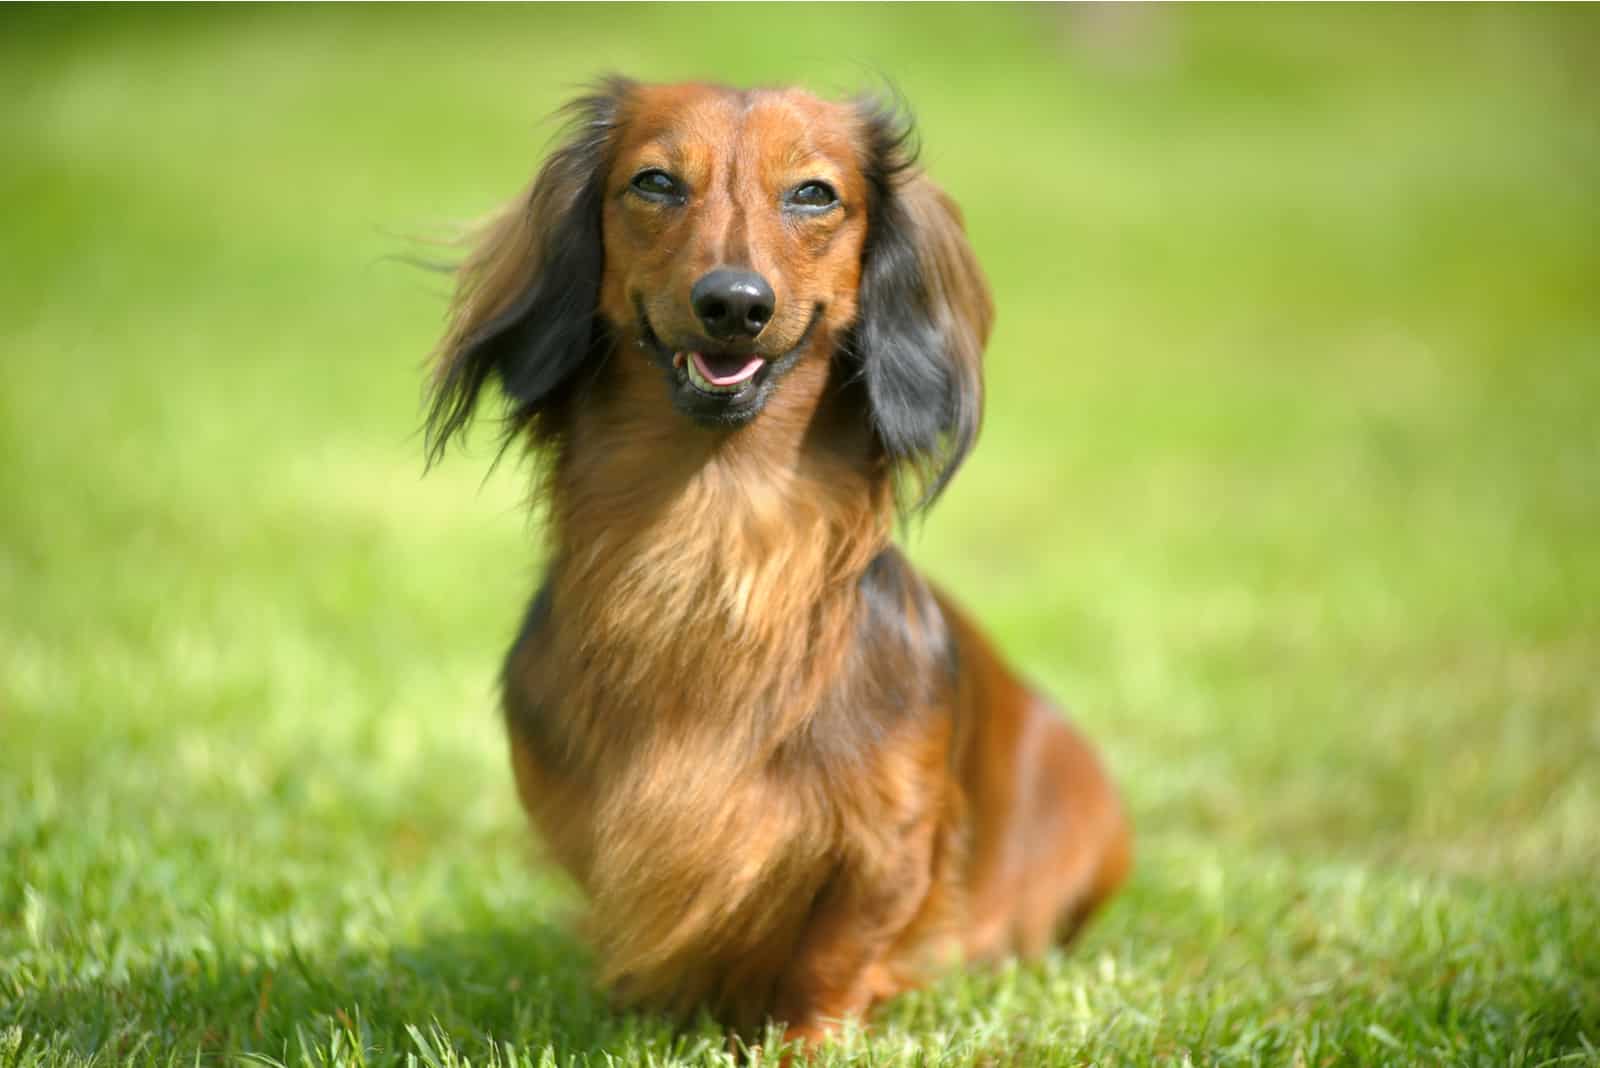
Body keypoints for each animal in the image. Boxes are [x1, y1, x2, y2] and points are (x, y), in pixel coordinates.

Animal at [425, 79, 1126, 1048]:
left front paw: (805, 1042)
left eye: (813, 194)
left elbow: (832, 953)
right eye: (654, 182)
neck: (714, 542)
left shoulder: (889, 844)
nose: (733, 303)